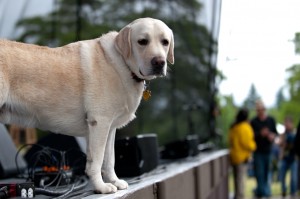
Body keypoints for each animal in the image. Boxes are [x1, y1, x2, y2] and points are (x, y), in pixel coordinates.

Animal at [0, 18, 175, 193]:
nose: (159, 62)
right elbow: (97, 161)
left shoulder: (110, 128)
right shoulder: (100, 122)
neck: (122, 64)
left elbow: (109, 160)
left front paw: (115, 181)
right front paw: (101, 187)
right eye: (142, 41)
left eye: (165, 42)